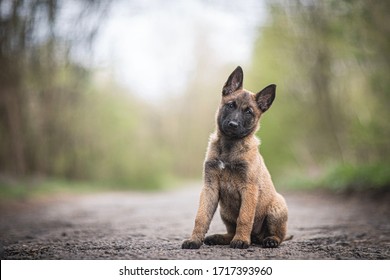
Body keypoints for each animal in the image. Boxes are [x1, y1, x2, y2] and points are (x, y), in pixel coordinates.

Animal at [181, 66, 288, 249]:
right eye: (230, 105)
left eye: (249, 112)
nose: (233, 125)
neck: (229, 147)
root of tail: (256, 238)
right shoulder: (210, 187)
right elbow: (201, 217)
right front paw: (194, 240)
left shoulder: (249, 188)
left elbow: (244, 217)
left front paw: (241, 240)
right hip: (225, 211)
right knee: (230, 231)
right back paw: (219, 238)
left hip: (277, 206)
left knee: (279, 235)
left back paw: (269, 240)